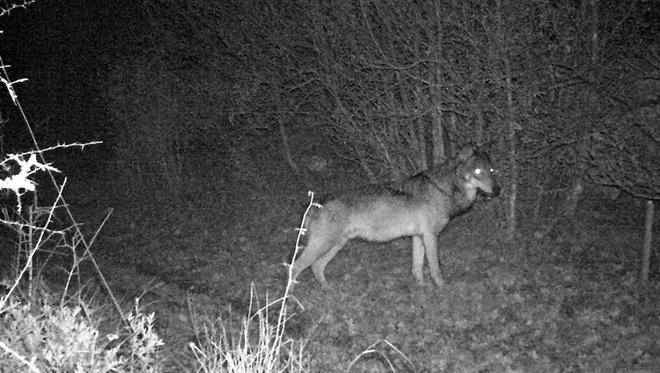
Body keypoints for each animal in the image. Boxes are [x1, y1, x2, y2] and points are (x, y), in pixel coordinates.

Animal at [290, 147, 500, 286]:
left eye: (491, 170)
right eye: (477, 172)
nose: (498, 190)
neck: (443, 189)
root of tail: (316, 204)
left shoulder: (418, 237)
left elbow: (417, 266)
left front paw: (422, 288)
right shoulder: (430, 237)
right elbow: (435, 267)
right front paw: (441, 289)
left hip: (336, 245)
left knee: (316, 266)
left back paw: (327, 290)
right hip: (324, 245)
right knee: (295, 267)